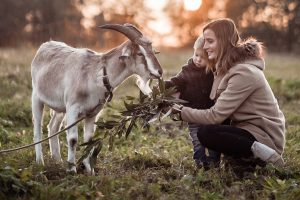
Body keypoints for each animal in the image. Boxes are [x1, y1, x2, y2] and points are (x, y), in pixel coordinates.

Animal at [31, 23, 162, 174]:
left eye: (152, 50)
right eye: (140, 53)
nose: (159, 72)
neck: (96, 74)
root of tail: (45, 46)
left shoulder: (92, 113)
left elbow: (89, 139)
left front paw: (90, 171)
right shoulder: (72, 108)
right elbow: (73, 139)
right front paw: (72, 170)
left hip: (60, 108)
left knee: (52, 127)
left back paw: (57, 160)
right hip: (36, 98)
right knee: (37, 129)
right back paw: (40, 162)